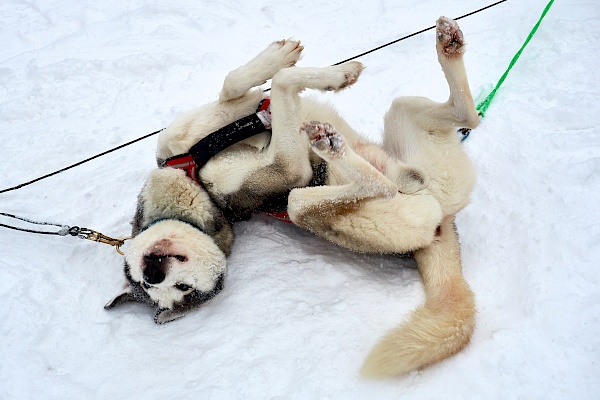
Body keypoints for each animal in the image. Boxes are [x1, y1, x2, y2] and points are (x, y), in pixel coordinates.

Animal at [105, 16, 480, 378]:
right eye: (177, 290)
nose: (153, 274)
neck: (193, 177)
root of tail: (443, 222)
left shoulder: (213, 119)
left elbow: (238, 83)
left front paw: (306, 66)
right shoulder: (291, 170)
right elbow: (282, 83)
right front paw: (318, 74)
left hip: (406, 116)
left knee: (467, 116)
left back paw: (448, 45)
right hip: (314, 204)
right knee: (369, 187)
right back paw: (332, 147)